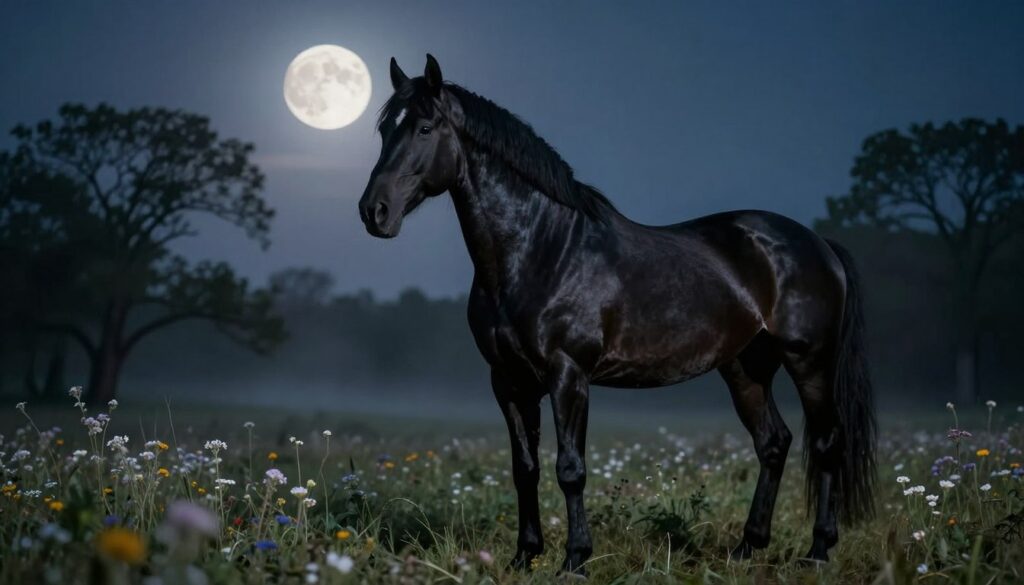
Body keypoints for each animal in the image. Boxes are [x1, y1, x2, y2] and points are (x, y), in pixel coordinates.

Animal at [358, 54, 877, 575]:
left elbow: (570, 470)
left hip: (810, 362)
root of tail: (817, 243)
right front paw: (524, 556)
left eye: (425, 127)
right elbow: (525, 469)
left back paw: (818, 551)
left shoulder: (568, 375)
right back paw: (746, 548)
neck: (541, 250)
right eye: (383, 129)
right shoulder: (507, 380)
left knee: (826, 444)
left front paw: (575, 560)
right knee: (773, 443)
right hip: (745, 367)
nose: (373, 212)